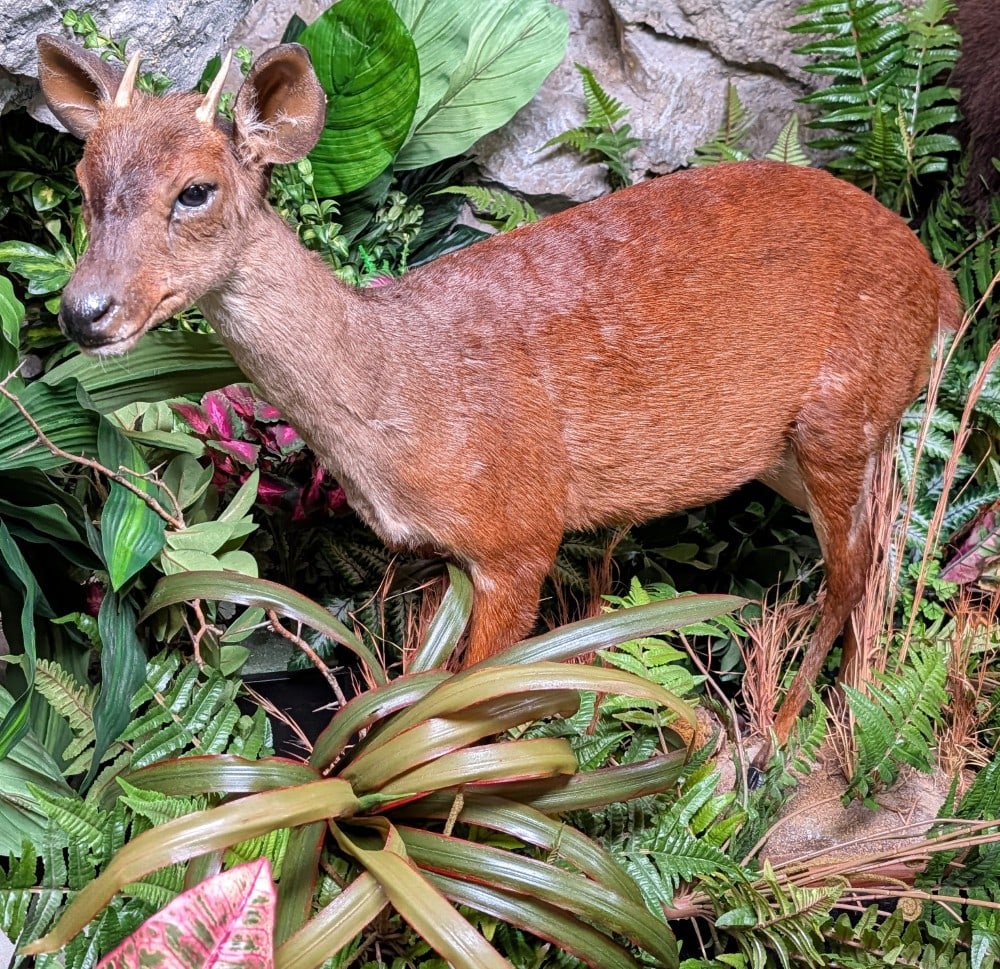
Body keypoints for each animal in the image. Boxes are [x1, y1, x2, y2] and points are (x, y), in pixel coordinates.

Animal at [36, 34, 962, 749]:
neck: (401, 392)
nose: (84, 311)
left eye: (196, 190)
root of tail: (937, 280)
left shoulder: (521, 531)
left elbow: (467, 707)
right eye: (83, 184)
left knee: (855, 570)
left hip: (846, 410)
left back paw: (785, 735)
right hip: (789, 449)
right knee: (876, 553)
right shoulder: (437, 556)